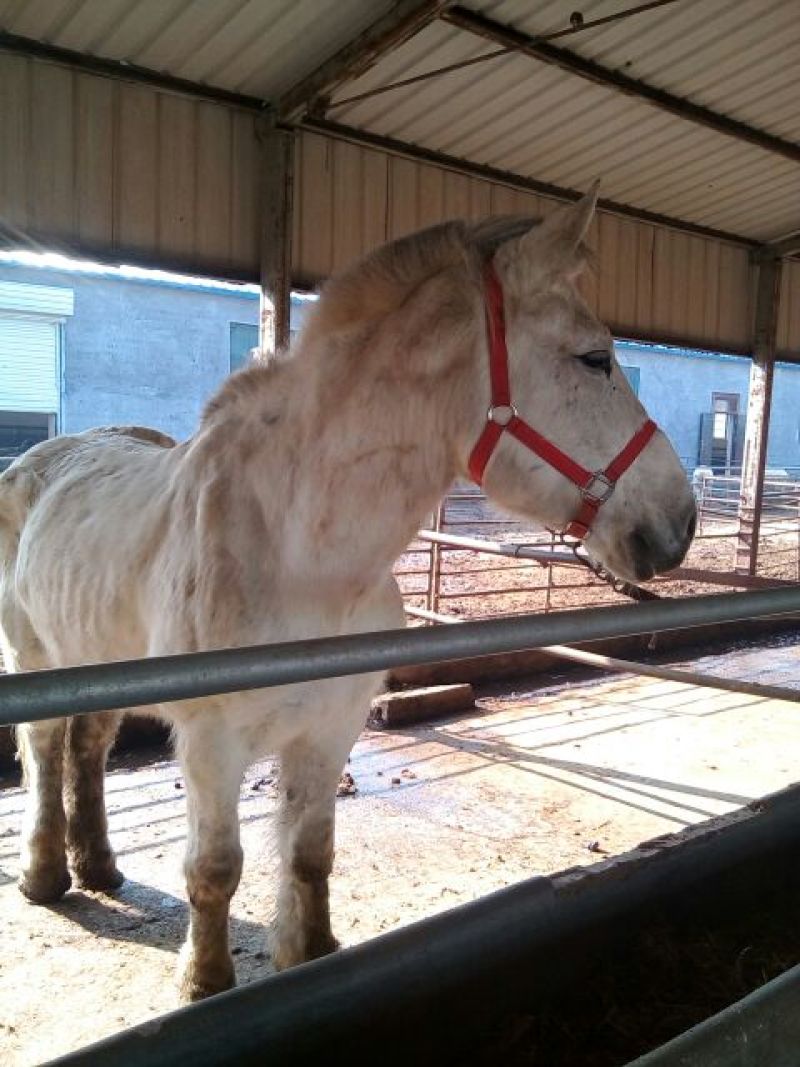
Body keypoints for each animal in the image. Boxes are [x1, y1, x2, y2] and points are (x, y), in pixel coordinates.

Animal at [0, 188, 696, 1002]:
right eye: (595, 358)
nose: (681, 521)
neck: (297, 552)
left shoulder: (331, 729)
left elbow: (310, 855)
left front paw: (313, 952)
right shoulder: (211, 744)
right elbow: (215, 869)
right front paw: (204, 983)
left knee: (88, 747)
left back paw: (100, 867)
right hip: (37, 657)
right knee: (46, 748)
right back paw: (46, 876)